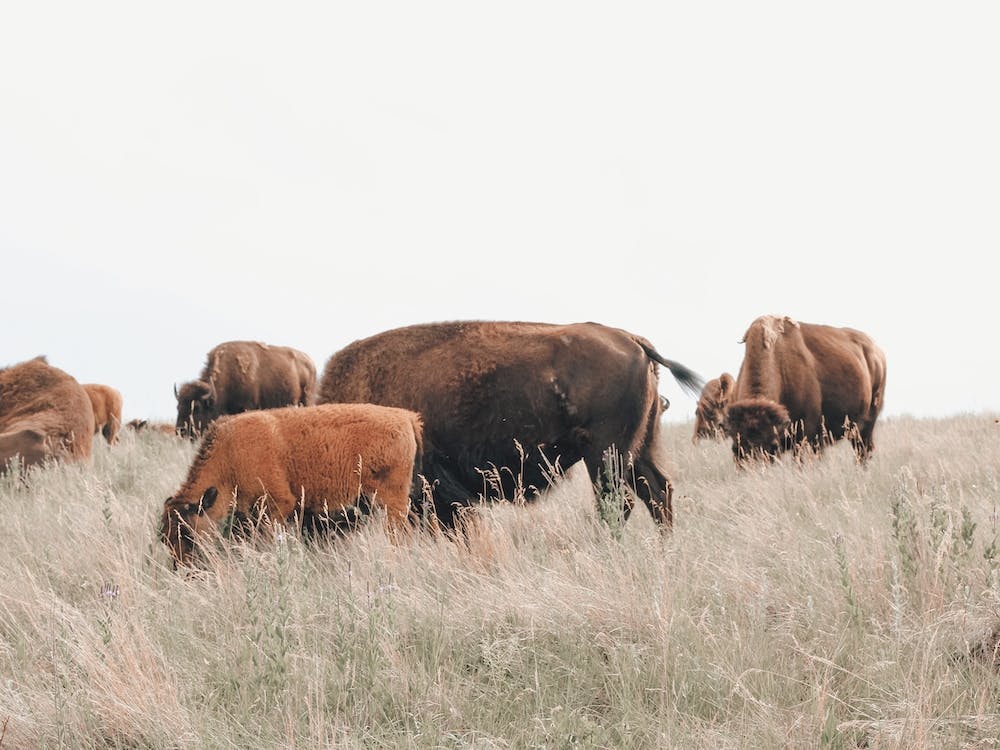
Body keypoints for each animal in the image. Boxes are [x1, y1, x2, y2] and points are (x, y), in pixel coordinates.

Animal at [161, 403, 423, 567]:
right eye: (165, 538)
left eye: (187, 533)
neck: (230, 454)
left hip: (391, 501)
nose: (185, 571)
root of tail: (406, 417)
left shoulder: (279, 504)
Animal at [175, 340, 317, 438]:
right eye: (178, 407)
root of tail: (310, 362)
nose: (180, 431)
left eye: (196, 407)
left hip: (306, 399)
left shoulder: (248, 406)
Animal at [724, 315, 886, 462]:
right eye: (735, 448)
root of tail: (876, 351)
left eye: (773, 446)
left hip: (867, 424)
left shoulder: (804, 434)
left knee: (862, 450)